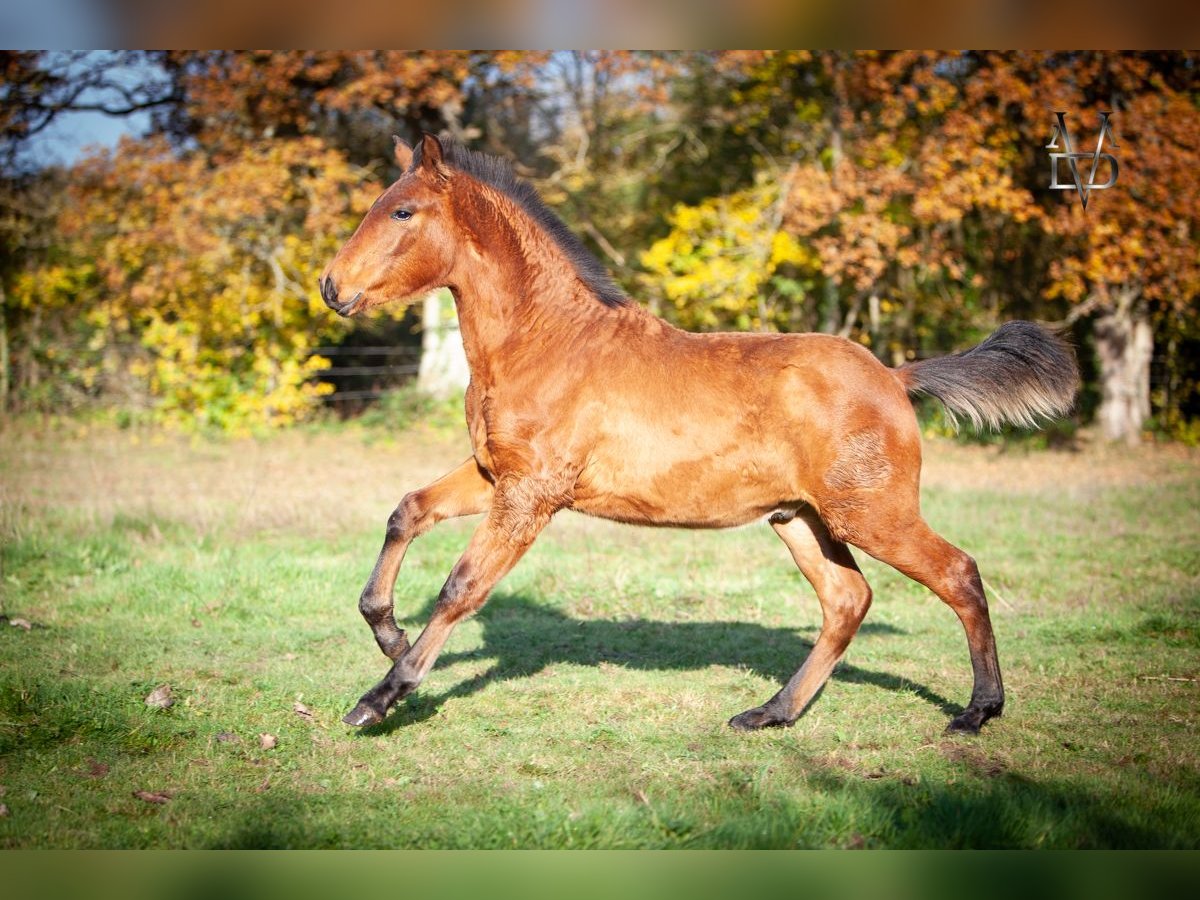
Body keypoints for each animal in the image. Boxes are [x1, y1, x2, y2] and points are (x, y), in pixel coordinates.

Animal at [316, 135, 1080, 739]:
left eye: (403, 211)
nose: (330, 286)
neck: (549, 342)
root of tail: (894, 377)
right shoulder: (494, 475)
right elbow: (407, 511)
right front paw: (388, 632)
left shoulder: (530, 494)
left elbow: (461, 586)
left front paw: (380, 698)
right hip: (801, 519)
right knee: (846, 600)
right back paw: (770, 713)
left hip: (872, 514)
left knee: (958, 574)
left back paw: (978, 711)